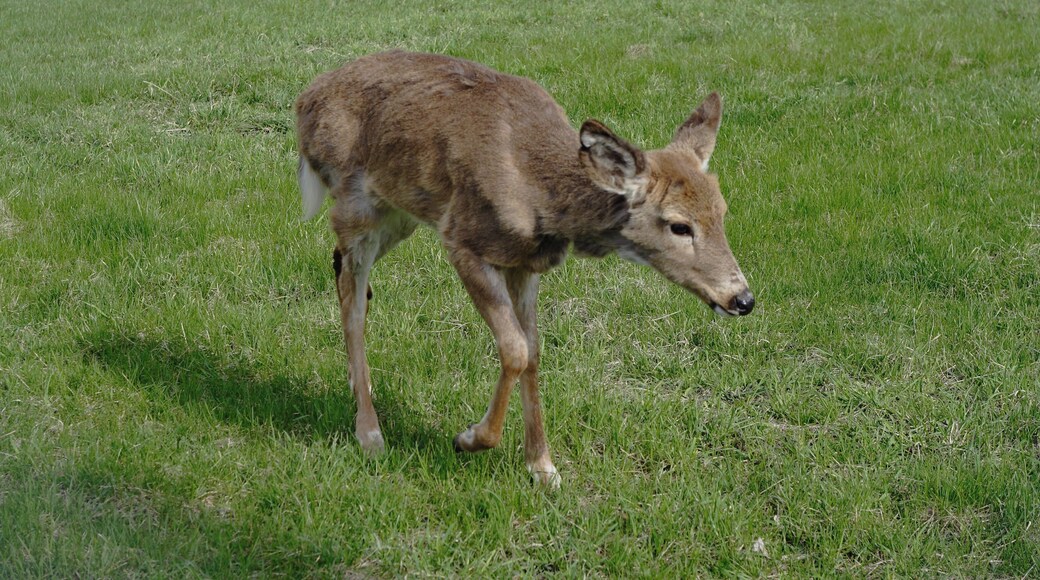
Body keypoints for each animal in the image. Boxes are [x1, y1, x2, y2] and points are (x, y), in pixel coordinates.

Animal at [295, 50, 754, 488]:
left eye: (722, 211)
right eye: (679, 225)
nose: (742, 298)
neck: (541, 195)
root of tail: (305, 101)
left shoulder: (525, 265)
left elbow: (533, 352)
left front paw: (543, 467)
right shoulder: (462, 240)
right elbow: (514, 349)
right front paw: (470, 439)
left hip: (400, 212)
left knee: (343, 271)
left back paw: (359, 385)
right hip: (358, 205)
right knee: (353, 299)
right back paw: (369, 432)